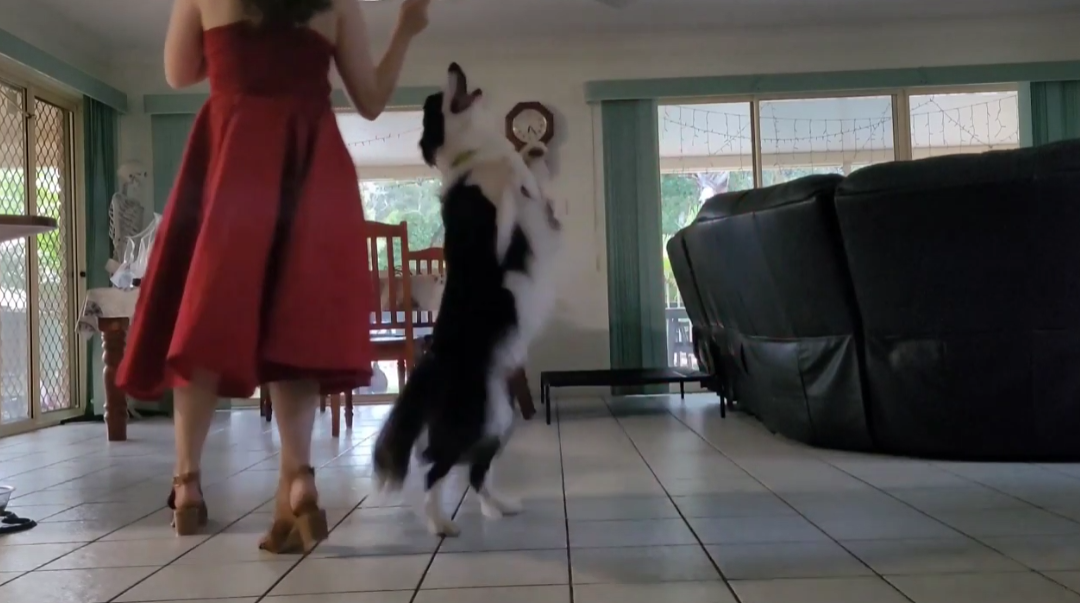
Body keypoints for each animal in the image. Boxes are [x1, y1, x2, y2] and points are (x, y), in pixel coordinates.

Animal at [371, 63, 561, 538]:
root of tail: (432, 363)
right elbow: (507, 190)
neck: (474, 152)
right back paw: (439, 523)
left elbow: (535, 183)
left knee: (476, 471)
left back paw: (500, 507)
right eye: (436, 99)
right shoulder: (492, 221)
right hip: (469, 417)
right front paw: (512, 169)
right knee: (433, 468)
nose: (455, 66)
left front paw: (531, 155)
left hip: (498, 418)